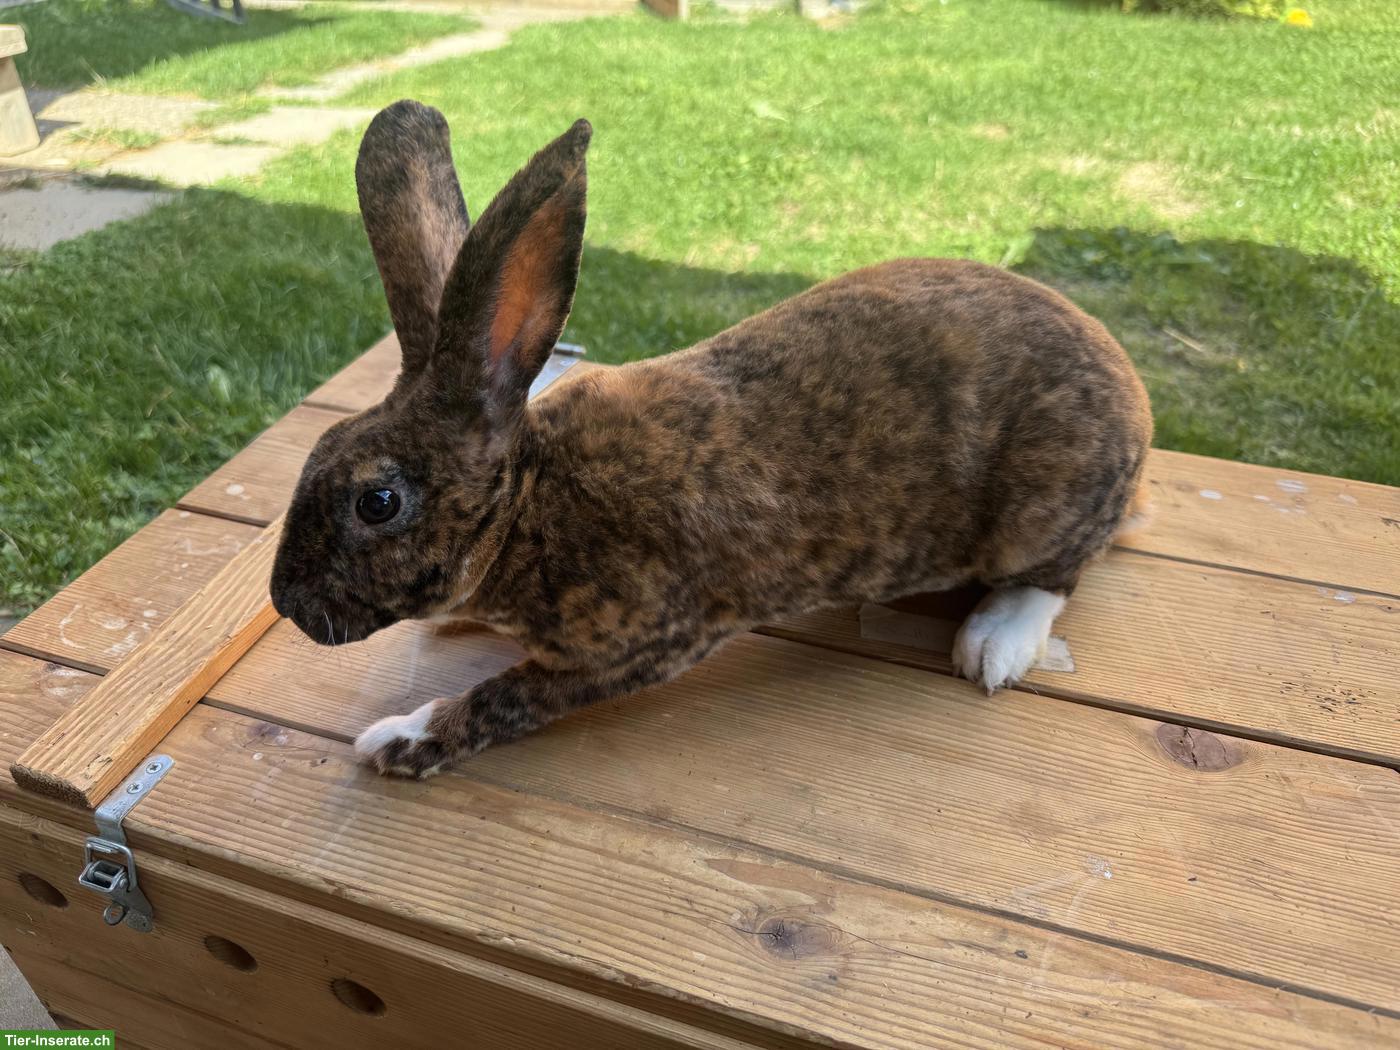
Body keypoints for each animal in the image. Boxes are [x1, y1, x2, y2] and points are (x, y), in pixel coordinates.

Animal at [269, 99, 1153, 779]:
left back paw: (995, 642)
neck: (529, 506)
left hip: (1042, 507)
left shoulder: (638, 647)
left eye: (378, 502)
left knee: (1061, 570)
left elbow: (506, 698)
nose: (287, 604)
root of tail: (1131, 393)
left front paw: (403, 738)